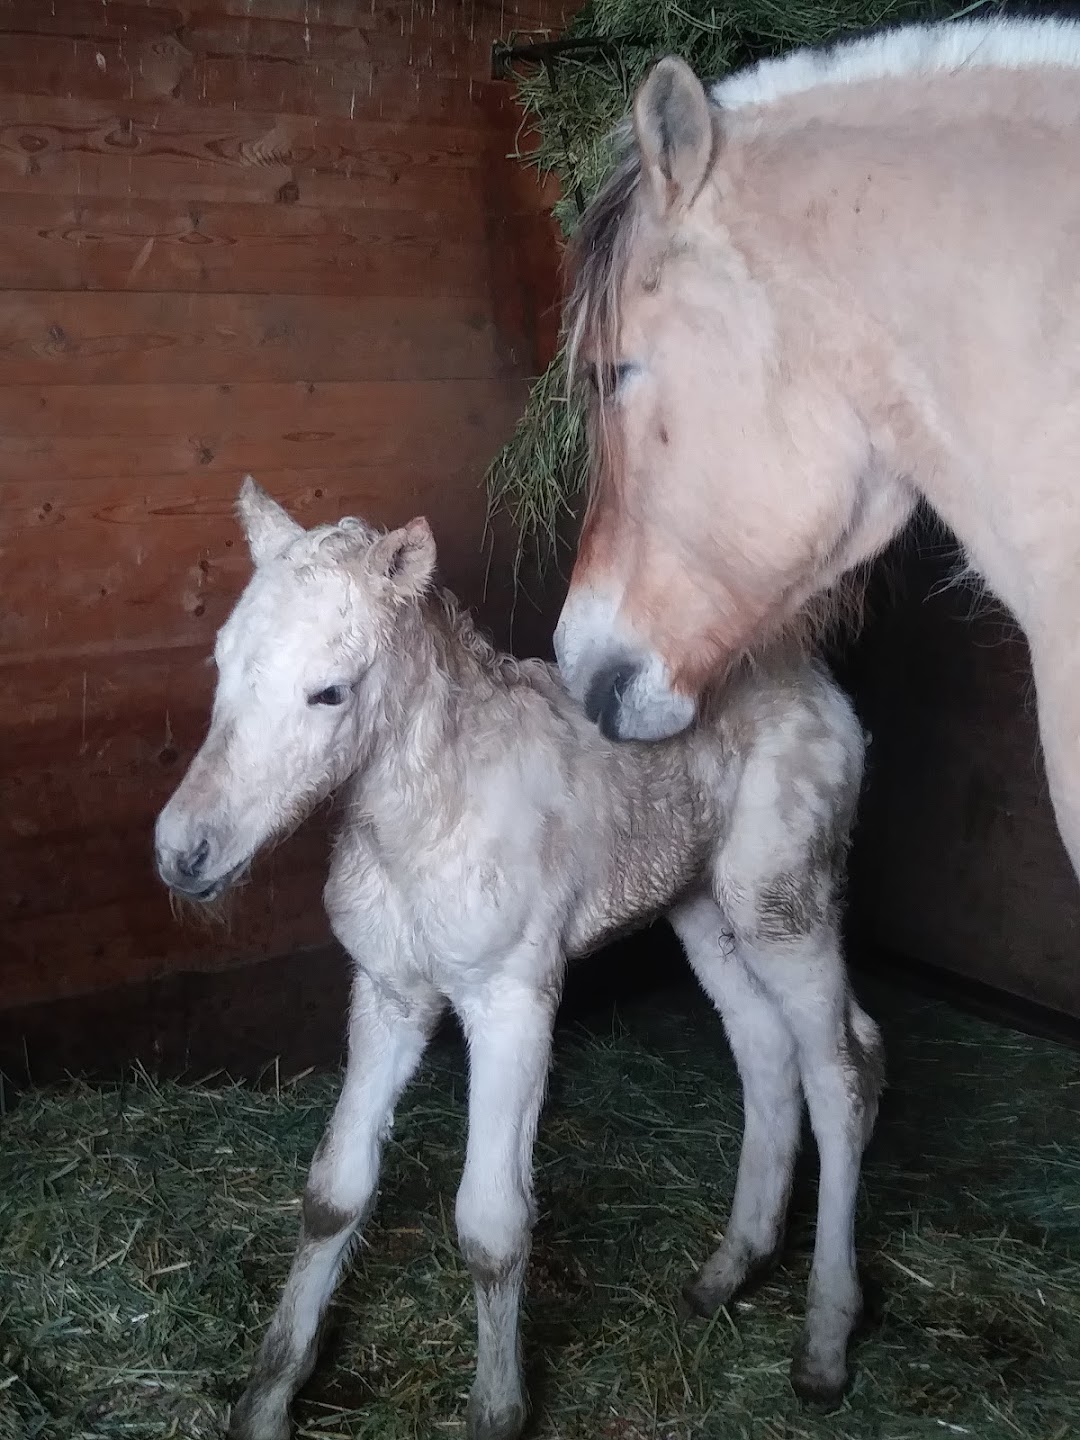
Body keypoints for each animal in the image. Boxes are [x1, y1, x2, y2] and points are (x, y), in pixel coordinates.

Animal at [154, 478, 881, 1434]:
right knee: (765, 1049)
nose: (184, 852)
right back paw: (729, 1269)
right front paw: (269, 1398)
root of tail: (808, 677)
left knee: (843, 1070)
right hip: (704, 909)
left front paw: (498, 1408)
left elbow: (493, 1228)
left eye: (330, 692)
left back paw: (826, 1342)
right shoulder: (389, 995)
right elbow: (334, 1193)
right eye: (221, 662)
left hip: (785, 903)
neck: (426, 817)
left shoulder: (512, 1001)